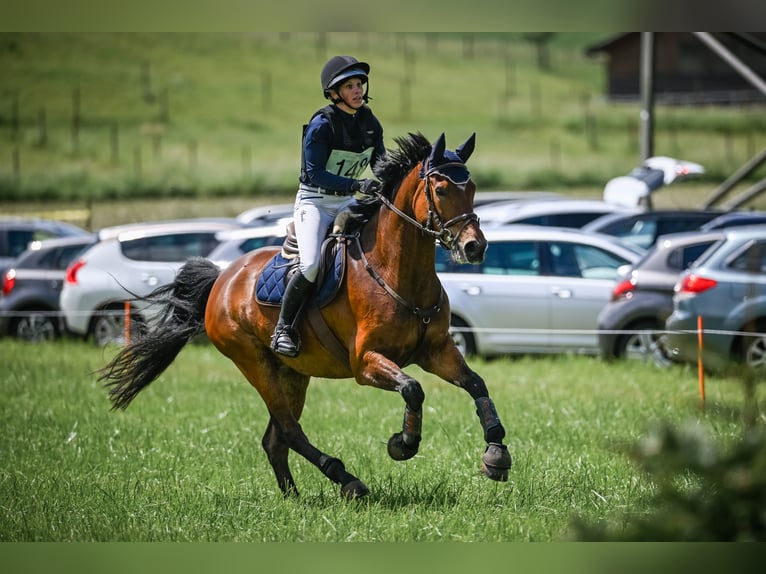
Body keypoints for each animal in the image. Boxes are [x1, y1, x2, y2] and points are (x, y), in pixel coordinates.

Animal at [100, 132, 512, 499]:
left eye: (472, 188)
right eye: (441, 190)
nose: (474, 247)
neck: (397, 272)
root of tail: (222, 278)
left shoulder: (436, 350)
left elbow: (476, 384)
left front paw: (496, 454)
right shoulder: (366, 363)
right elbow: (413, 388)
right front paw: (403, 443)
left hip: (292, 373)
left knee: (275, 439)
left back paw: (293, 496)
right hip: (254, 363)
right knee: (289, 430)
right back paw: (346, 479)